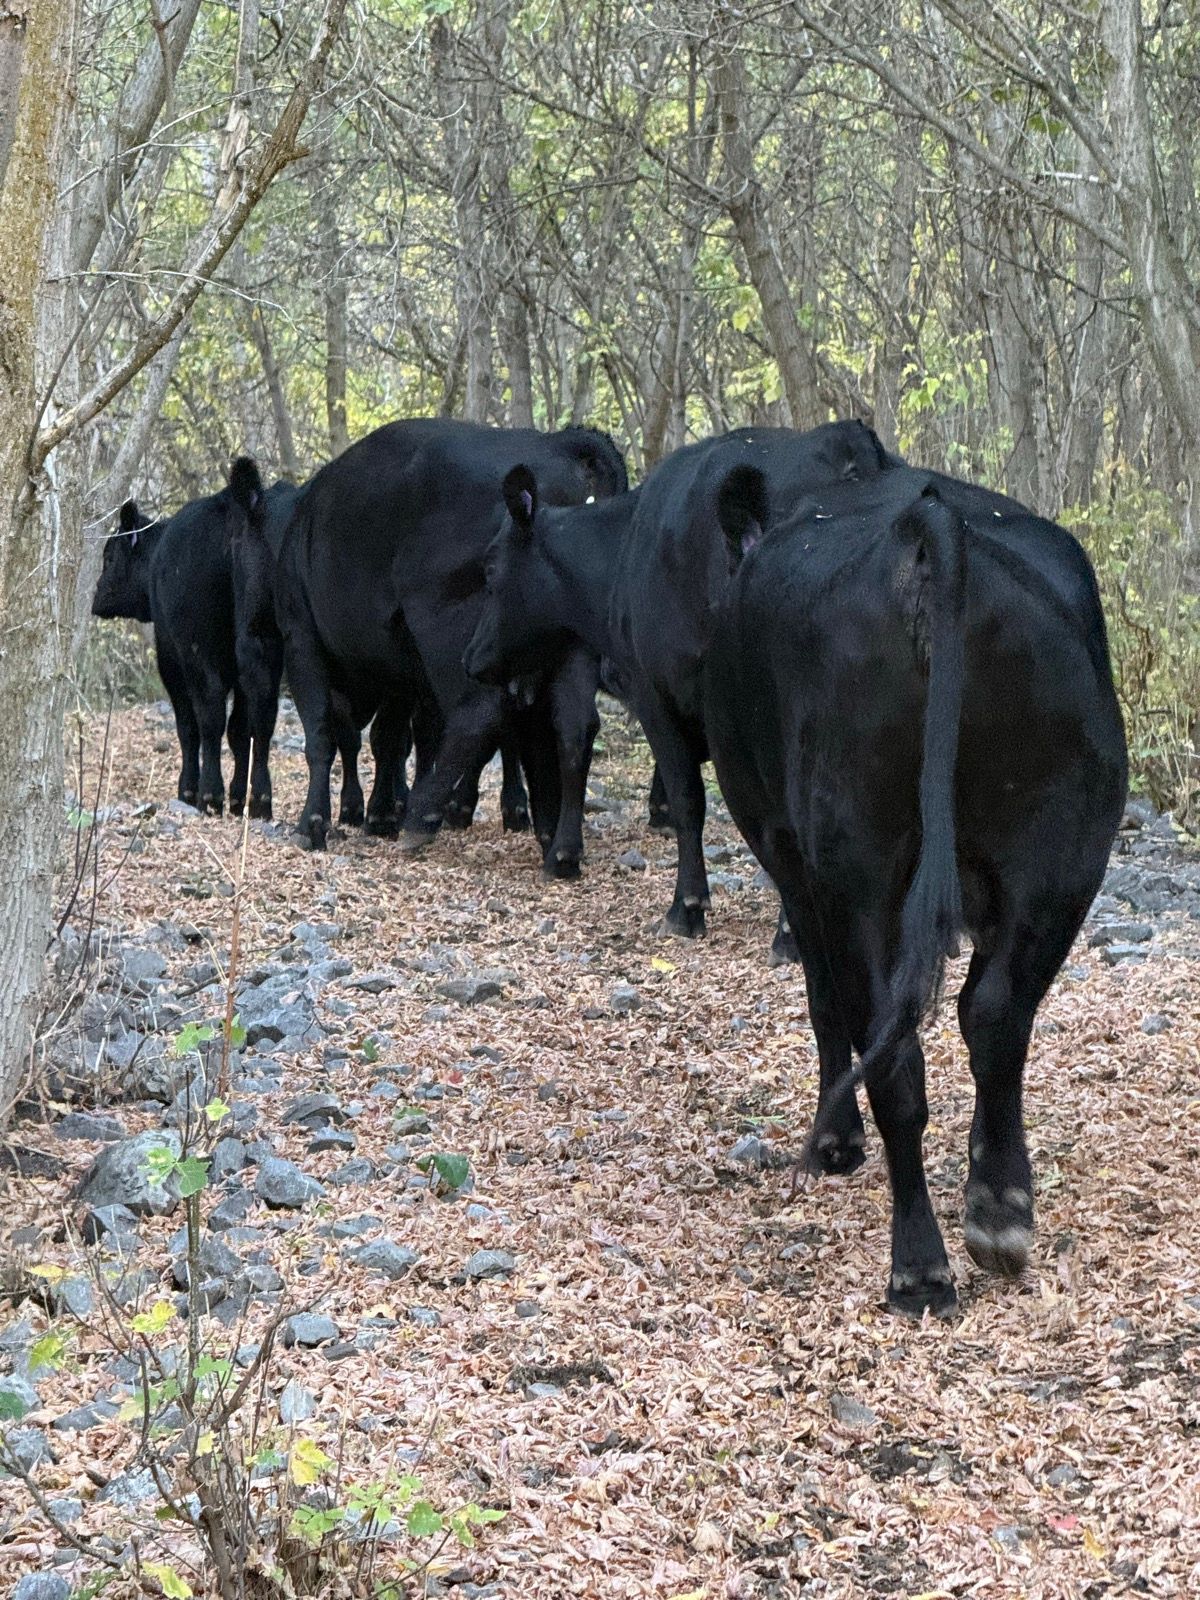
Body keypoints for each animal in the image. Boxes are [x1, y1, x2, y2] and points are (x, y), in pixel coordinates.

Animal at [266, 418, 628, 865]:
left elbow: (321, 734)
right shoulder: (400, 670)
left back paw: (423, 817)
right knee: (572, 725)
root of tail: (559, 444)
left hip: (451, 630)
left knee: (481, 712)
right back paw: (558, 845)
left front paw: (314, 823)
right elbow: (391, 737)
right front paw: (380, 813)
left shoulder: (301, 639)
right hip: (565, 648)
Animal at [464, 422, 897, 942]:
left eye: (490, 566)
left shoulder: (651, 693)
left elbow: (676, 791)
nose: (472, 657)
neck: (621, 552)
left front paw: (684, 905)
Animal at [701, 463, 1127, 1315]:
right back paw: (999, 1208)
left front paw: (836, 1141)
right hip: (1066, 841)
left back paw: (919, 1266)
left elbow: (824, 1000)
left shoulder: (787, 851)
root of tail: (929, 532)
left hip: (851, 861)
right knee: (994, 1013)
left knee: (893, 1049)